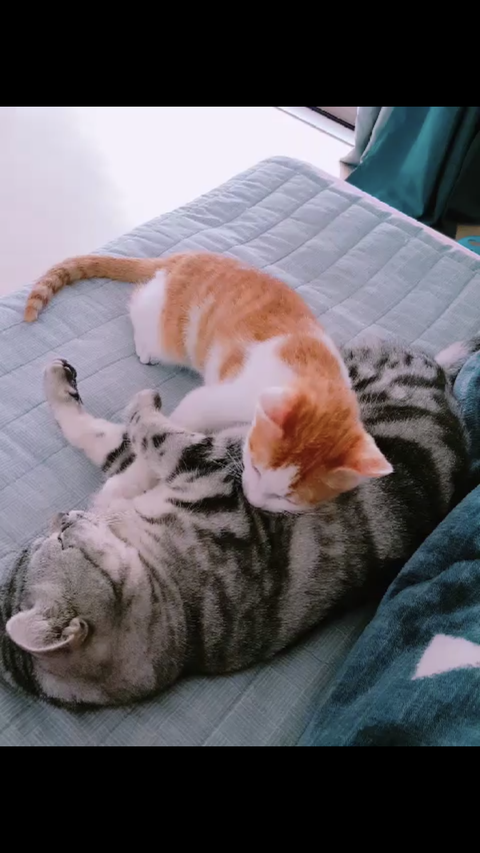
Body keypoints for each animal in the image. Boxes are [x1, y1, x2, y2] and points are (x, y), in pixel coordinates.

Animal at [0, 336, 473, 707]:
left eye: (54, 539)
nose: (62, 516)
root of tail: (444, 382)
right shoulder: (210, 469)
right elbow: (139, 437)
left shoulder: (183, 464)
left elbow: (120, 435)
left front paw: (74, 389)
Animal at [23, 251, 392, 512]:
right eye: (256, 468)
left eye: (286, 498)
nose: (253, 499)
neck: (318, 381)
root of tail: (186, 256)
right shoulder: (209, 401)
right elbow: (161, 438)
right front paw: (125, 485)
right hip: (169, 331)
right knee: (140, 302)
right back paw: (145, 343)